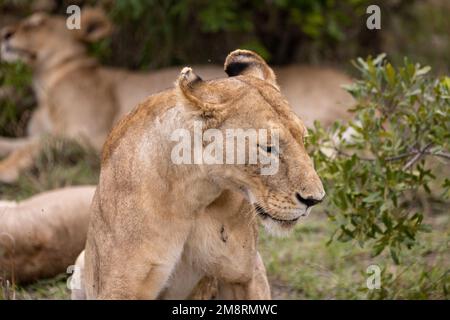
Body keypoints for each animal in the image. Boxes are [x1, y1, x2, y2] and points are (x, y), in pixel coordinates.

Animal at [0, 6, 352, 182]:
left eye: (37, 24)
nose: (6, 33)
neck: (44, 81)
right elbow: (20, 141)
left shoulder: (89, 134)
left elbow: (35, 145)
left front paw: (7, 170)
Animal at [72, 50, 326, 300]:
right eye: (268, 147)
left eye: (303, 138)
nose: (315, 200)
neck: (195, 193)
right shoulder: (120, 288)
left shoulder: (246, 273)